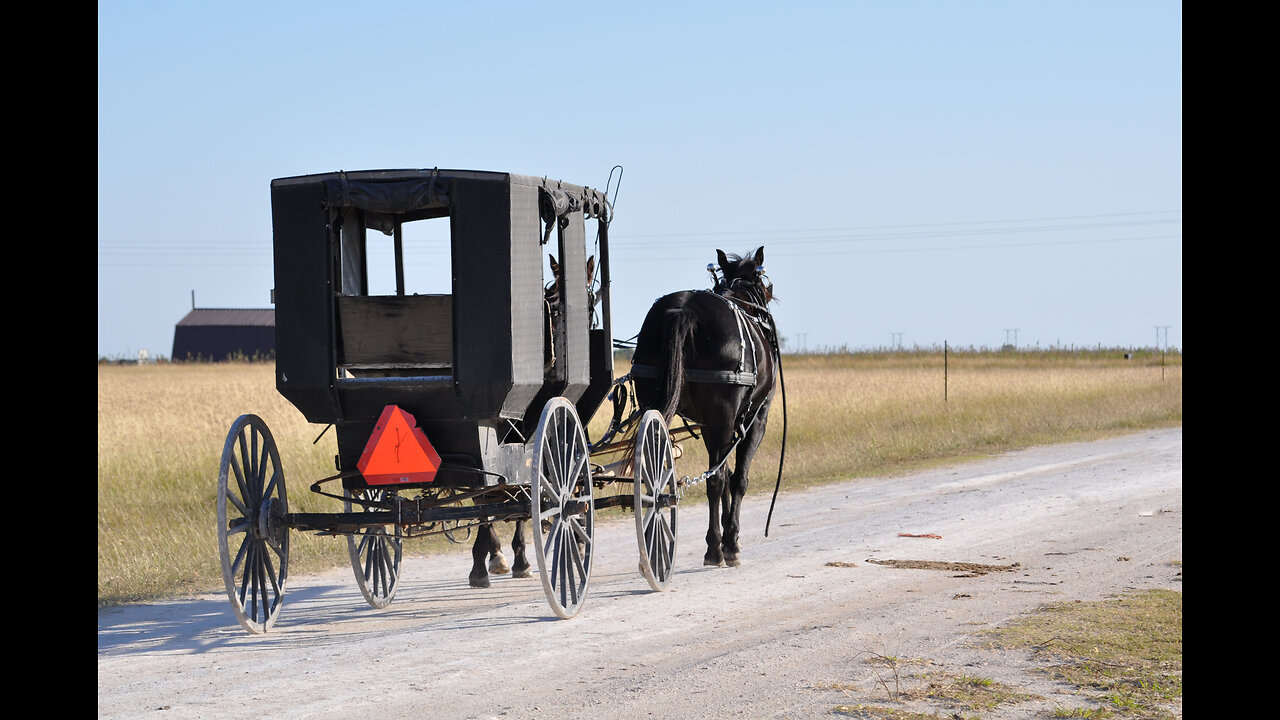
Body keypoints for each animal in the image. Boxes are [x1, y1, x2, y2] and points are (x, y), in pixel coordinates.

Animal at [632, 245, 778, 566]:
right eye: (764, 285)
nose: (767, 312)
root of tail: (685, 310)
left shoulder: (712, 425)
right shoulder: (756, 419)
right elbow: (736, 479)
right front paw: (730, 541)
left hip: (654, 405)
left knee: (652, 474)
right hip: (726, 414)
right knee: (717, 479)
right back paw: (715, 549)